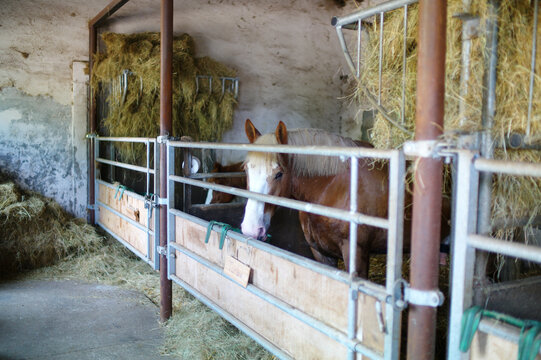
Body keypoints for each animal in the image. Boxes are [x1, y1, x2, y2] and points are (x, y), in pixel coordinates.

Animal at [240, 119, 410, 278]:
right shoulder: (321, 253)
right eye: (246, 170)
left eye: (279, 174)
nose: (251, 229)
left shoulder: (357, 253)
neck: (335, 186)